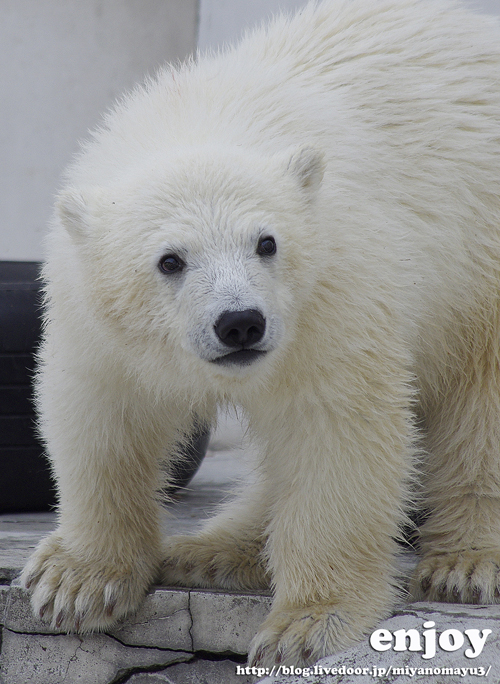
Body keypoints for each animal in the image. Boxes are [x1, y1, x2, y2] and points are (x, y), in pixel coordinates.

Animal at [21, 0, 500, 668]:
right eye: (170, 259)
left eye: (266, 242)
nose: (240, 323)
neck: (200, 112)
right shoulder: (93, 314)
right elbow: (102, 417)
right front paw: (75, 582)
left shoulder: (333, 291)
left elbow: (335, 434)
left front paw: (306, 622)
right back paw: (210, 551)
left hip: (478, 271)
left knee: (481, 406)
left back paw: (464, 562)